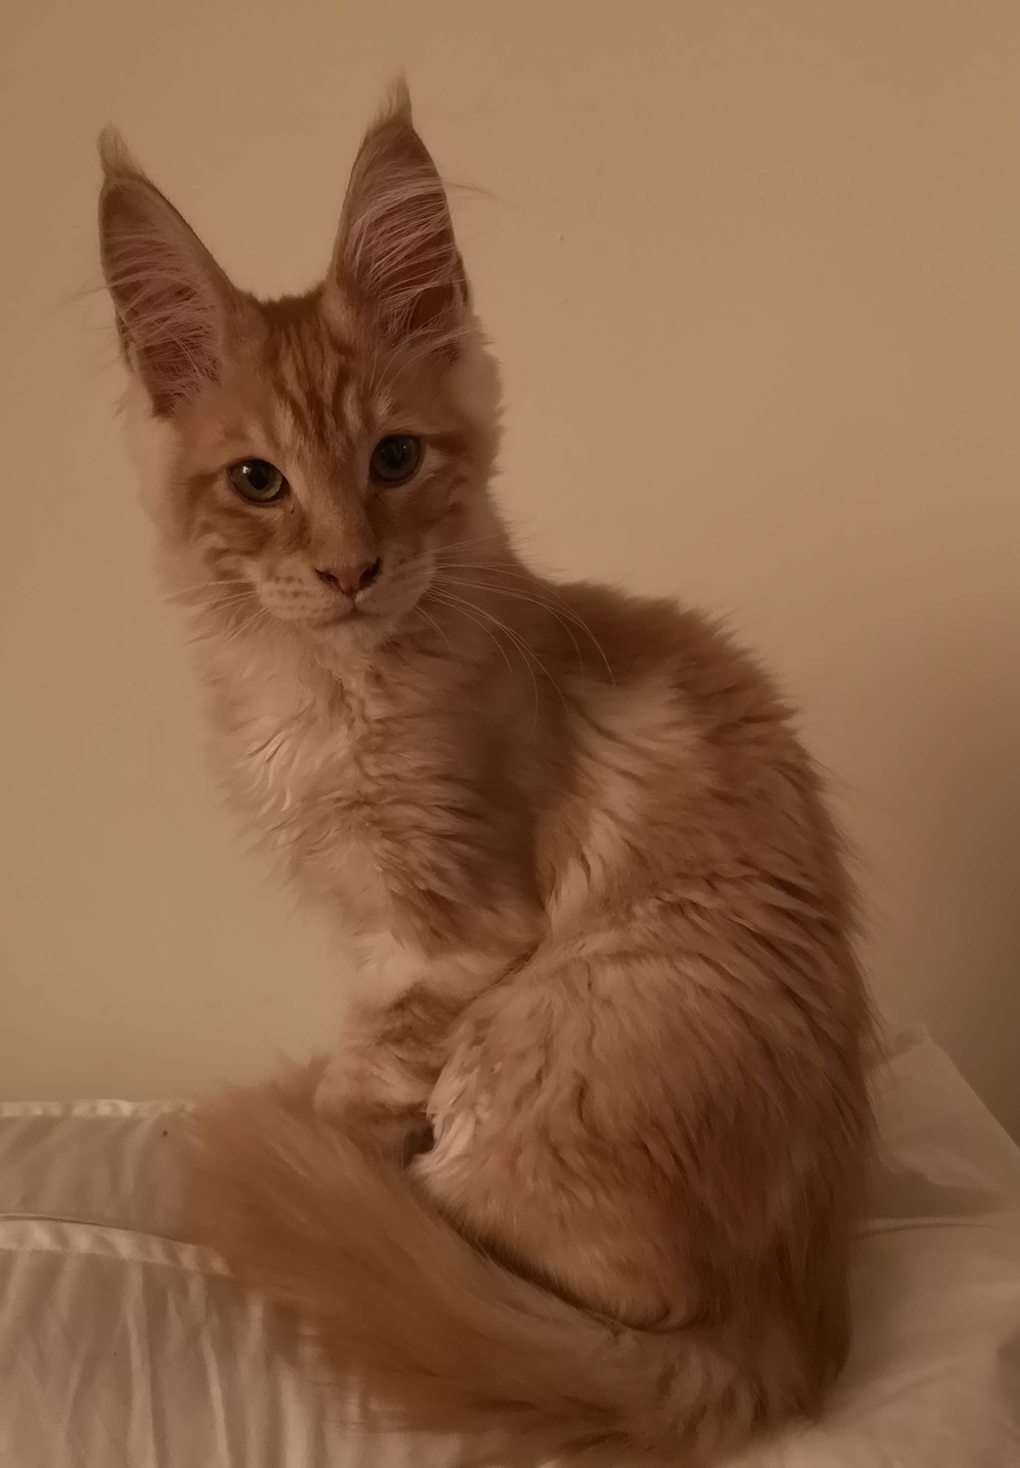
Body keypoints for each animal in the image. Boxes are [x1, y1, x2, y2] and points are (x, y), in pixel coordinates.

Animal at [97, 85, 880, 1462]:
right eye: (258, 483)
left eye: (396, 460)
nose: (350, 567)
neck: (326, 686)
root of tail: (789, 1331)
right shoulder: (375, 926)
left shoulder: (450, 936)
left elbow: (363, 1077)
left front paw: (331, 1153)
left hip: (547, 1034)